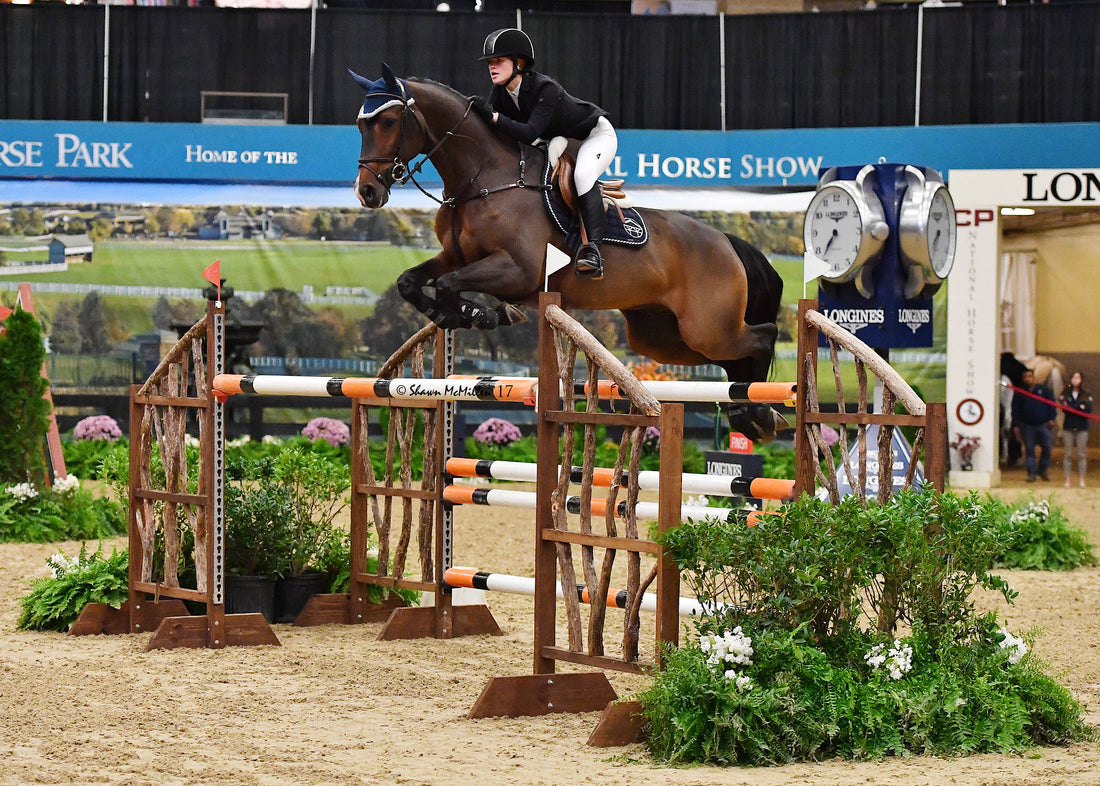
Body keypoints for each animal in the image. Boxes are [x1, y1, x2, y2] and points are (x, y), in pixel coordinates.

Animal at [347, 62, 787, 441]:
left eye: (388, 122)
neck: (481, 180)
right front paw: (457, 315)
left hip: (706, 328)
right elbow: (411, 281)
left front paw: (481, 314)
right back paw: (749, 414)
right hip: (661, 337)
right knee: (732, 355)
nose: (366, 192)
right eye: (360, 124)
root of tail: (726, 241)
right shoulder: (457, 257)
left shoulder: (519, 270)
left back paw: (760, 410)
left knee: (762, 336)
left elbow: (451, 284)